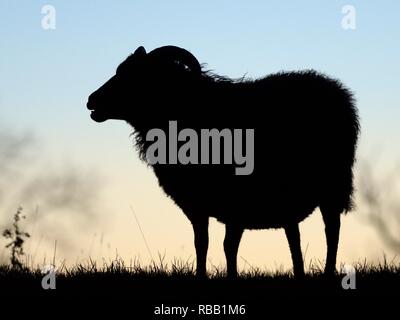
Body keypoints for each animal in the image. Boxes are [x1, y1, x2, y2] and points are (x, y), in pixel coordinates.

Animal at [86, 45, 360, 278]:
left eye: (133, 75)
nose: (91, 100)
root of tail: (339, 91)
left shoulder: (232, 200)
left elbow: (227, 245)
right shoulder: (199, 204)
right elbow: (203, 243)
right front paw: (204, 275)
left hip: (332, 186)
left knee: (331, 230)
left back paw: (327, 272)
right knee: (295, 234)